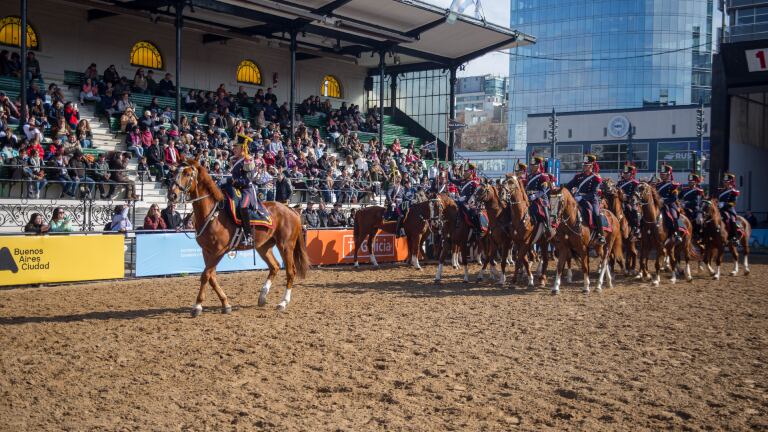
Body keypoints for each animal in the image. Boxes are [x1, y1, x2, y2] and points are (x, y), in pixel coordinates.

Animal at [168, 157, 308, 316]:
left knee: (291, 272)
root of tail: (291, 210)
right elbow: (211, 277)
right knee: (275, 267)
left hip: (285, 246)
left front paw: (197, 306)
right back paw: (262, 297)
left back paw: (283, 303)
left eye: (187, 173)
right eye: (175, 171)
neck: (213, 214)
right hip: (263, 247)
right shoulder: (207, 251)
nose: (172, 195)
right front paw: (225, 304)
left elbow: (205, 275)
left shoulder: (219, 251)